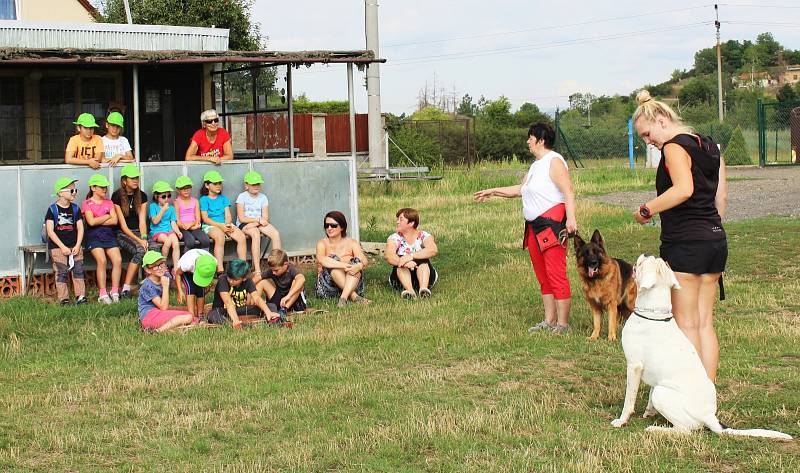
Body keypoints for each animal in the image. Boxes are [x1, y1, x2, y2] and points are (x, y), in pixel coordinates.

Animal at [612, 254, 792, 438]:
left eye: (645, 263)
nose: (647, 254)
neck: (654, 314)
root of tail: (709, 416)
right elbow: (648, 393)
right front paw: (649, 411)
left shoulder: (634, 366)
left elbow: (629, 400)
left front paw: (621, 421)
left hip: (661, 393)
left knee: (686, 430)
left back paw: (657, 429)